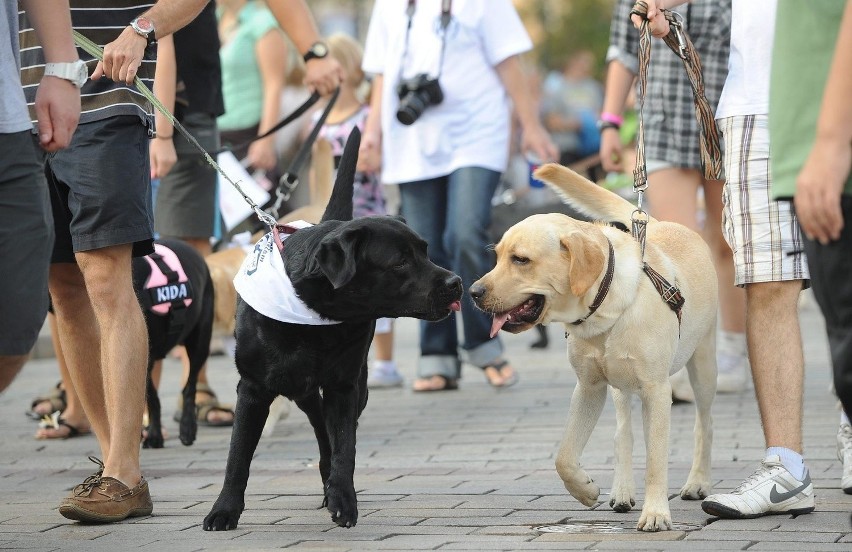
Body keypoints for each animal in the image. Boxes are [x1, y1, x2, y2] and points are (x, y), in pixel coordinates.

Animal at [133, 237, 215, 448]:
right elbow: (151, 397)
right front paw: (153, 434)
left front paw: (153, 435)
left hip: (199, 344)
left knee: (190, 387)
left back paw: (188, 428)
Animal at [202, 129, 462, 532]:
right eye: (401, 262)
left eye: (425, 250)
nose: (456, 283)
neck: (314, 317)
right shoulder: (253, 388)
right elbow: (237, 456)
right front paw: (224, 510)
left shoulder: (344, 386)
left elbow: (344, 448)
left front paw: (343, 499)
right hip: (301, 389)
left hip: (351, 386)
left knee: (330, 436)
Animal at [470, 164, 716, 532]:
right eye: (497, 257)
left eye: (521, 260)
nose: (472, 292)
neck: (605, 309)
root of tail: (659, 225)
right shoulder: (589, 387)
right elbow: (564, 456)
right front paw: (585, 490)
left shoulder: (657, 390)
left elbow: (656, 460)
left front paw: (656, 513)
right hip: (620, 388)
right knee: (622, 435)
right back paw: (622, 491)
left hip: (702, 366)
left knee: (704, 423)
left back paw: (697, 482)